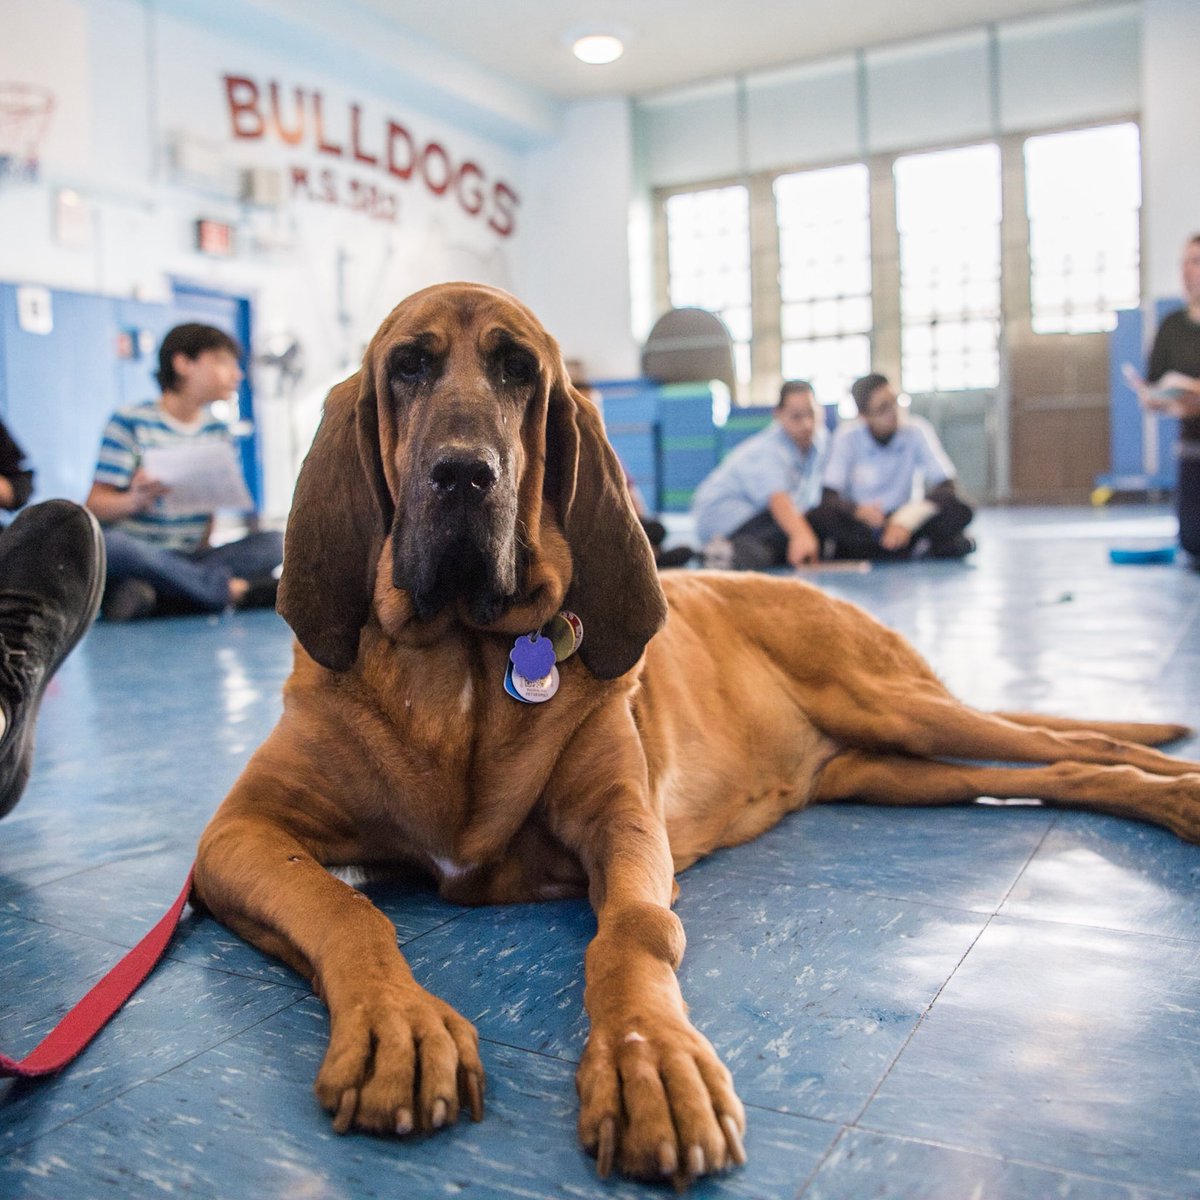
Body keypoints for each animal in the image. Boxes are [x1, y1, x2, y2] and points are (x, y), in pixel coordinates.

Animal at [192, 283, 1195, 1190]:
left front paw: (651, 1062)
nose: (465, 474)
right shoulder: (237, 836)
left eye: (520, 371)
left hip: (895, 705)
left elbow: (635, 932)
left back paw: (1175, 787)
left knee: (1081, 746)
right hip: (896, 769)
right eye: (407, 366)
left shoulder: (624, 824)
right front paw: (397, 1023)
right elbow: (346, 909)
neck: (461, 667)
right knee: (1063, 768)